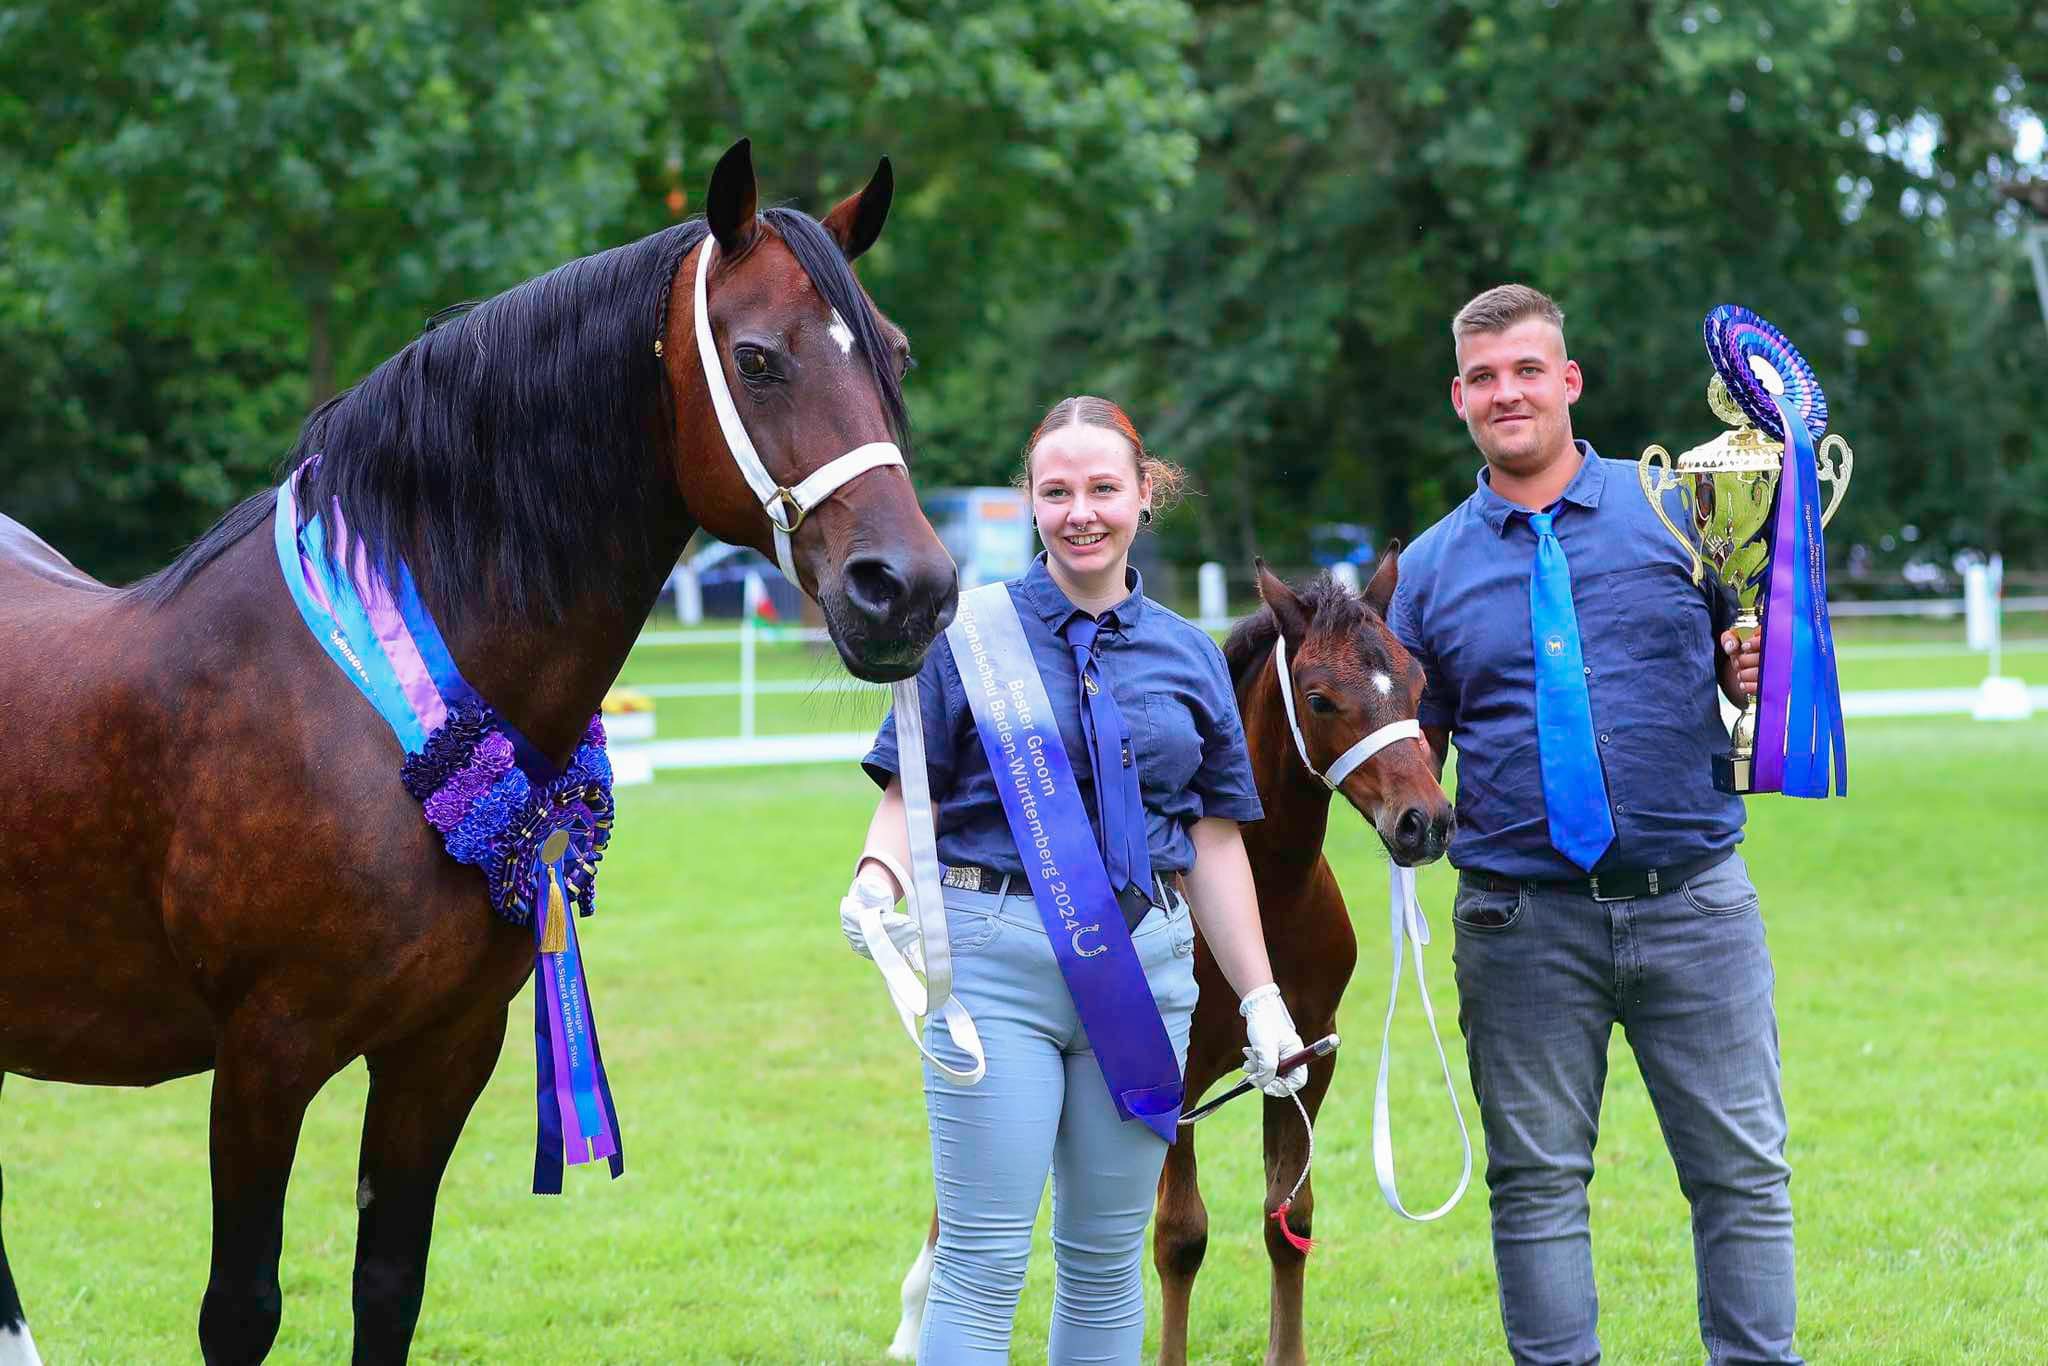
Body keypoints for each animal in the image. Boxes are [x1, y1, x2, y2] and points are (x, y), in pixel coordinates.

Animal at [0, 138, 957, 1366]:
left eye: (894, 353)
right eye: (756, 359)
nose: (908, 589)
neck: (349, 713)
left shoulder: (444, 1048)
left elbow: (389, 1287)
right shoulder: (262, 1061)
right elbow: (242, 1310)